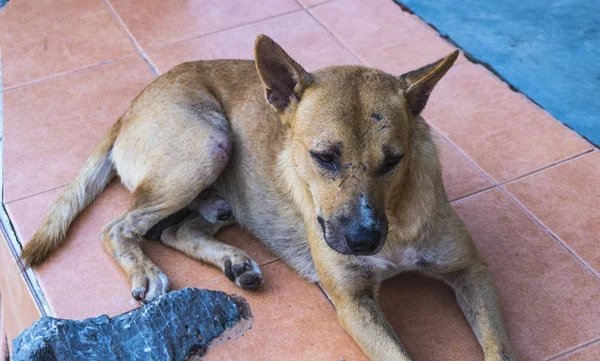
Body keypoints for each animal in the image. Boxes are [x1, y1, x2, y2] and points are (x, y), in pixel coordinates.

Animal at [21, 34, 512, 360]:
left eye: (394, 160)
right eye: (324, 157)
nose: (364, 241)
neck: (394, 215)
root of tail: (130, 107)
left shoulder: (472, 270)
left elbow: (498, 347)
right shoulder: (353, 304)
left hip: (220, 190)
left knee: (177, 230)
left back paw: (232, 261)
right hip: (207, 146)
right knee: (118, 227)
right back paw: (146, 270)